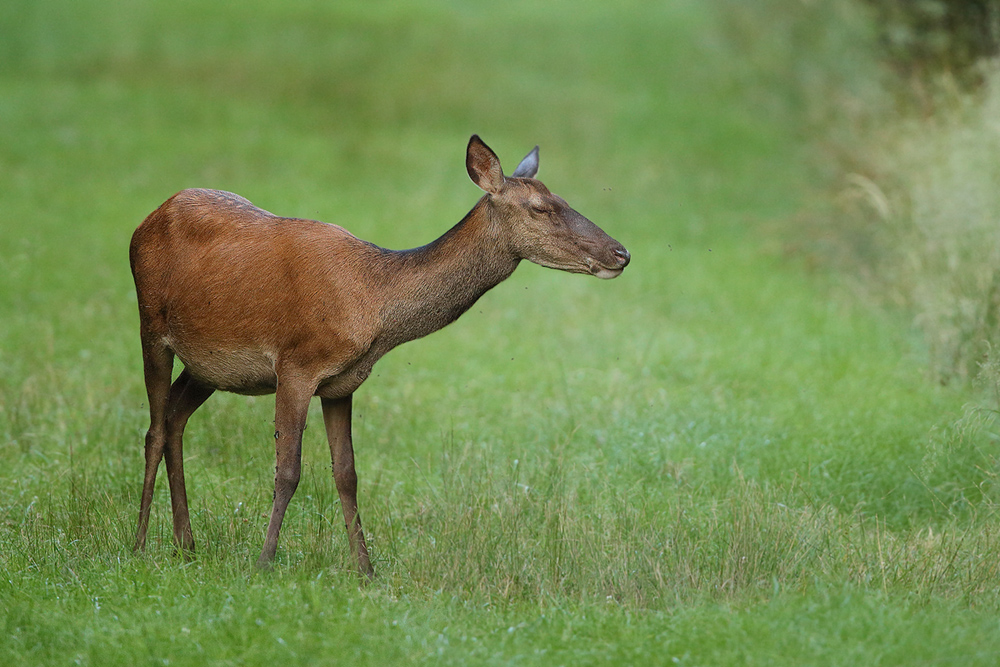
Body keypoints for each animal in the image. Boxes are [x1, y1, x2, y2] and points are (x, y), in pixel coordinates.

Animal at [131, 136, 632, 576]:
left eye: (561, 197)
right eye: (541, 207)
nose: (621, 252)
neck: (372, 307)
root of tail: (146, 220)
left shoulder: (342, 383)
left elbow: (348, 473)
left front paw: (366, 570)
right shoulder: (296, 363)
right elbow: (289, 470)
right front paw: (264, 562)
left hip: (207, 367)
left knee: (174, 417)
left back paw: (186, 543)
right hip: (150, 323)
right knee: (154, 428)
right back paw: (138, 544)